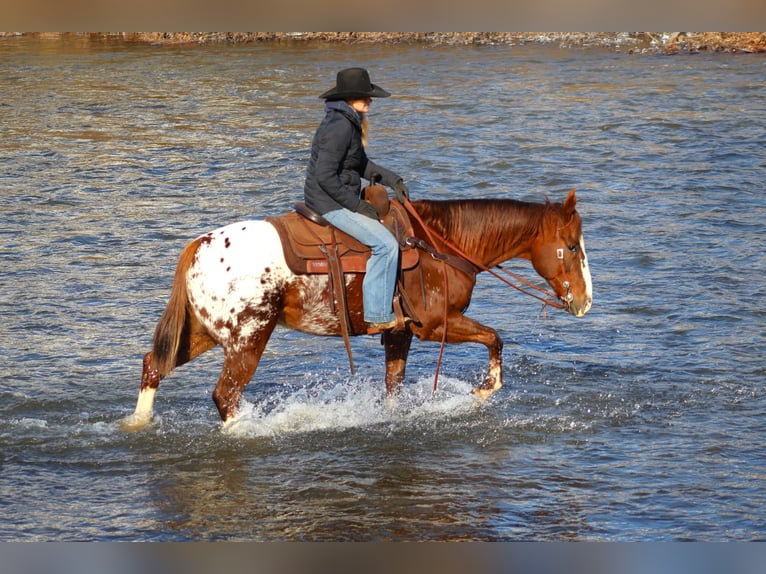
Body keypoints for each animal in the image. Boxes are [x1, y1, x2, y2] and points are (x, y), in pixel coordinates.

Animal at [124, 191, 592, 430]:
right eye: (571, 247)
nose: (585, 302)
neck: (438, 244)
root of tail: (198, 247)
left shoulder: (401, 332)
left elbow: (393, 388)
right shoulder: (436, 325)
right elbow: (496, 339)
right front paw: (482, 391)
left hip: (203, 332)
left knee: (153, 366)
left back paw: (138, 423)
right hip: (248, 338)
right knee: (225, 395)